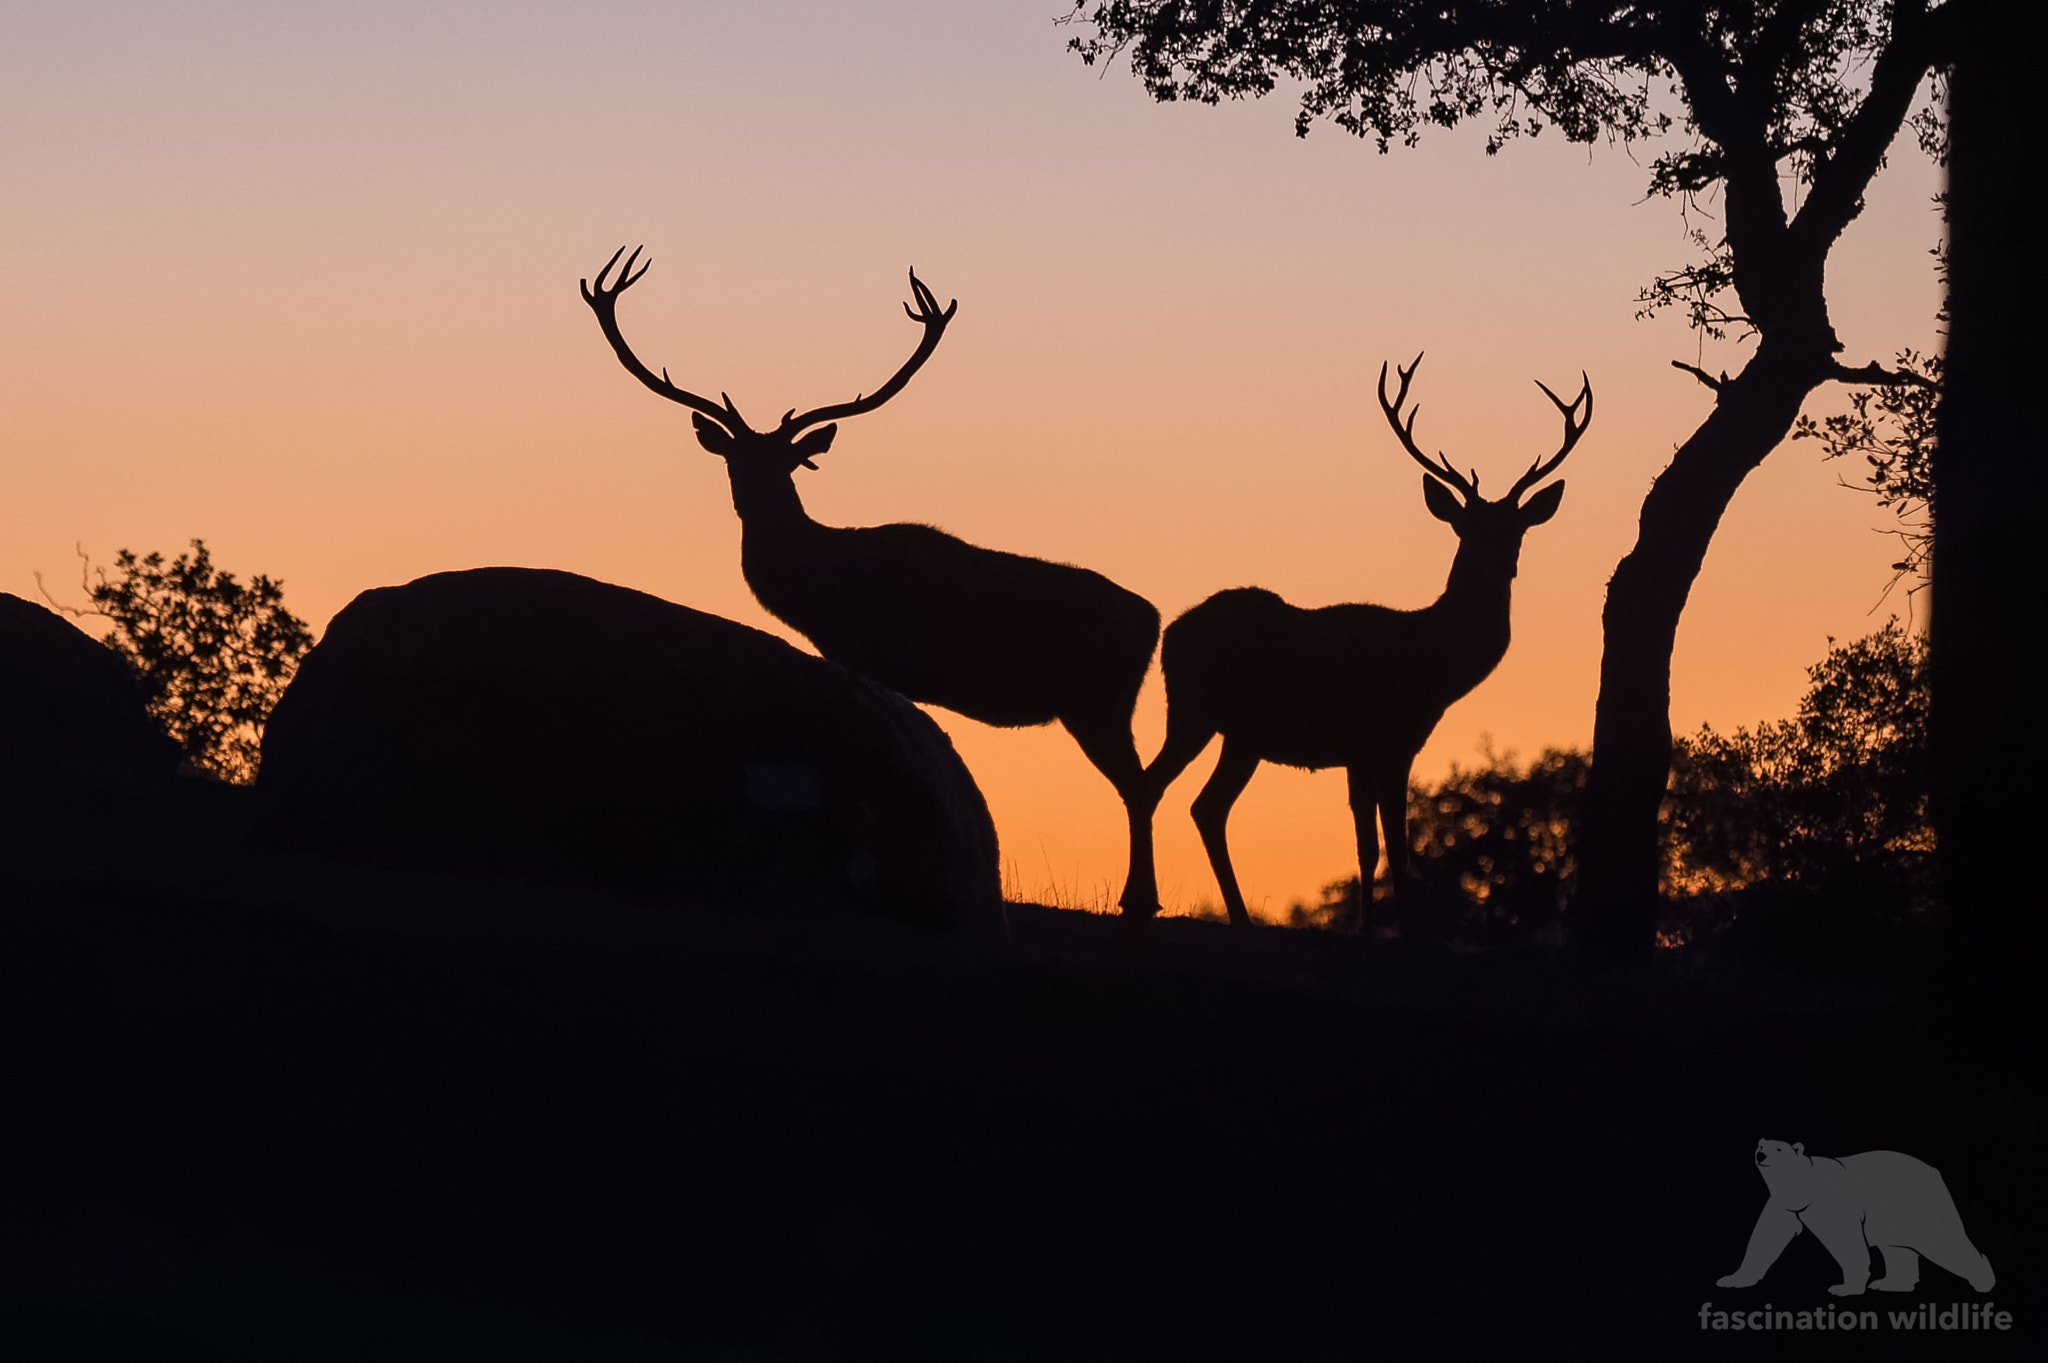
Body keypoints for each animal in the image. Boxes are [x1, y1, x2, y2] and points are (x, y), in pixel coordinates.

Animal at [581, 247, 1166, 915]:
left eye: (787, 462)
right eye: (734, 458)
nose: (754, 501)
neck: (820, 589)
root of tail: (1153, 618)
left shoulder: (874, 656)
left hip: (1100, 700)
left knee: (1139, 785)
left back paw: (1139, 899)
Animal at [1138, 354, 1590, 933]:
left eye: (1517, 530)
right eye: (1465, 528)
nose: (1498, 565)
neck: (1430, 667)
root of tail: (1171, 633)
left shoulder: (1373, 750)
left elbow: (1370, 848)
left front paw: (1373, 928)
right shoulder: (1384, 740)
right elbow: (1390, 847)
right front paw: (1403, 931)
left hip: (1237, 733)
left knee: (1202, 805)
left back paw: (1233, 916)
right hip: (1198, 713)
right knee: (1164, 790)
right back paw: (1149, 903)